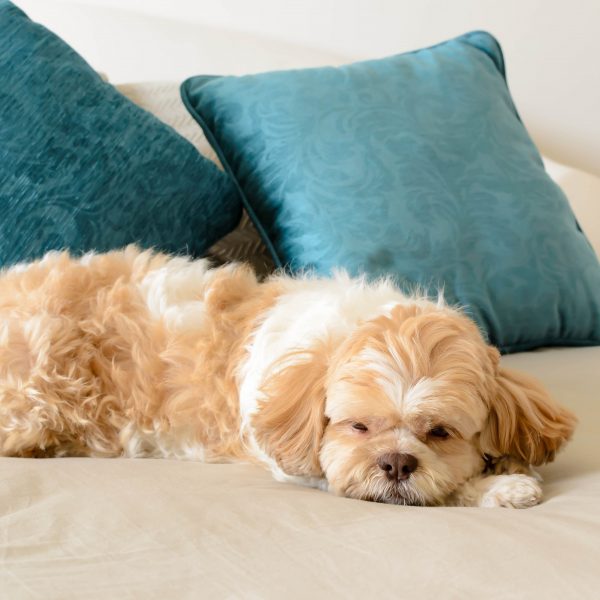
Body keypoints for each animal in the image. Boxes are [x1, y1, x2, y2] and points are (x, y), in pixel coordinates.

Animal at [0, 245, 576, 506]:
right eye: (357, 427)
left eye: (440, 432)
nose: (395, 463)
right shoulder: (303, 466)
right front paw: (502, 487)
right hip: (37, 389)